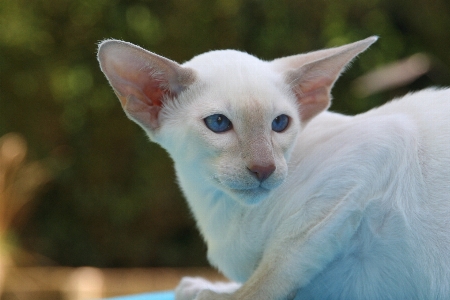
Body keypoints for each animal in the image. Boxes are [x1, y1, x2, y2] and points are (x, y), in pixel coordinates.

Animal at [98, 38, 450, 300]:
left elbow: (273, 270)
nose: (263, 168)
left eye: (280, 123)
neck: (222, 209)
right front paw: (204, 286)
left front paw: (214, 293)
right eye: (218, 123)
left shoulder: (382, 146)